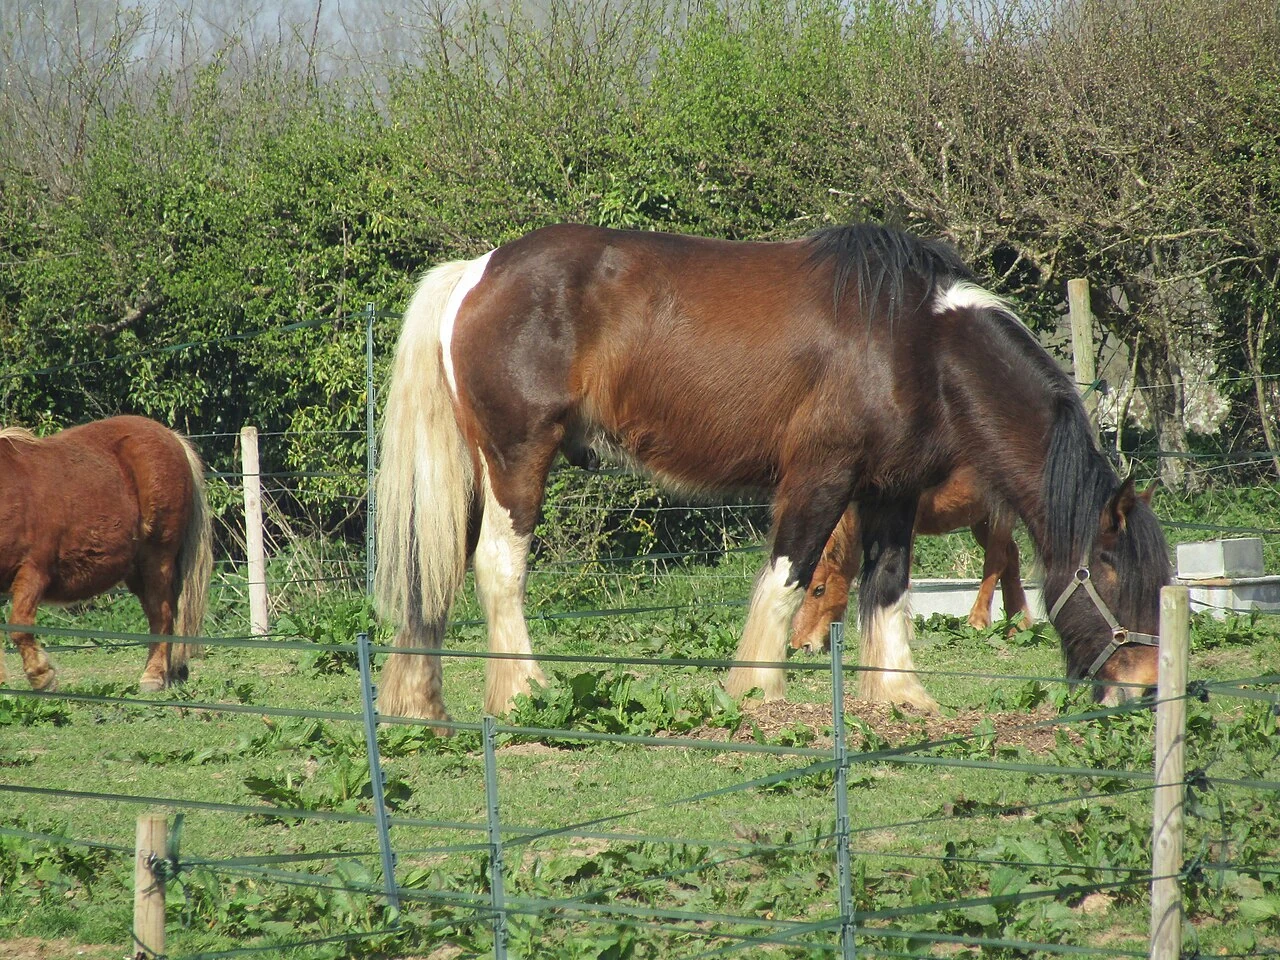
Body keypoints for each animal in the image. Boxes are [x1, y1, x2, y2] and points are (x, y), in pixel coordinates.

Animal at [0, 415, 213, 692]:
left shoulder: (34, 570)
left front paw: (42, 676)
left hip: (158, 557)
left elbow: (19, 626)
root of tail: (171, 436)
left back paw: (153, 676)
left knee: (162, 613)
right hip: (136, 570)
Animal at [789, 465, 1033, 654]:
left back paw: (978, 621)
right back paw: (1017, 625)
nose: (800, 645)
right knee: (1011, 556)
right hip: (980, 517)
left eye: (819, 590)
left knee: (997, 560)